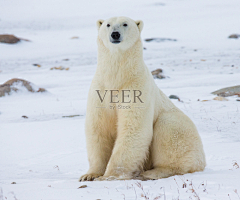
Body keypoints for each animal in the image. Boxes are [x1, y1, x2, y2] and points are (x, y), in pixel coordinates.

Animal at [79, 16, 206, 181]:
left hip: (179, 128)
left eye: (125, 24)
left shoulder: (136, 89)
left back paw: (151, 172)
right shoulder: (100, 91)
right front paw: (90, 175)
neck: (117, 78)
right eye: (108, 24)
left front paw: (109, 176)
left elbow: (133, 127)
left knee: (169, 130)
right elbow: (98, 129)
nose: (115, 34)